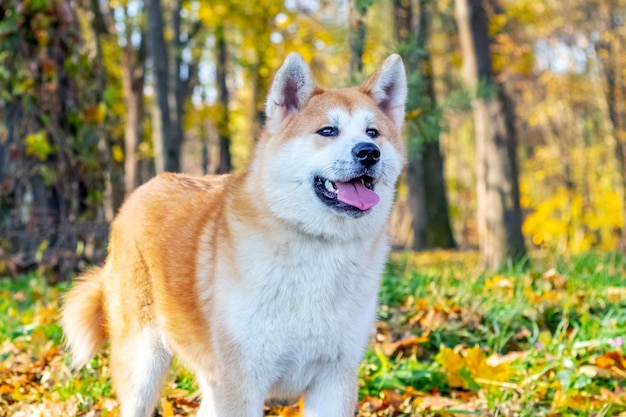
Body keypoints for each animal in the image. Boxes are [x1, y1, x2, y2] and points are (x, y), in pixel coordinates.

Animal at [61, 52, 408, 416]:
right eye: (328, 130)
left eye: (373, 132)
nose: (368, 152)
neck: (317, 248)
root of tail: (144, 188)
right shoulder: (243, 379)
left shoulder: (334, 378)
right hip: (143, 364)